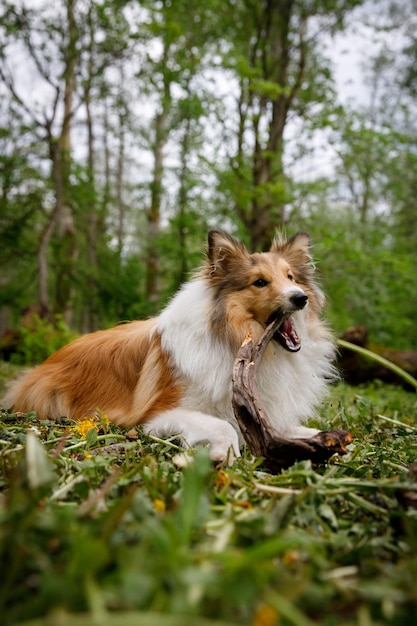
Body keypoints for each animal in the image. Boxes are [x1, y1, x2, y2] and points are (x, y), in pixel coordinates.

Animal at [1, 230, 336, 464]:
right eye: (260, 282)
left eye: (290, 277)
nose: (300, 298)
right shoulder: (161, 413)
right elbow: (223, 426)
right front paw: (221, 455)